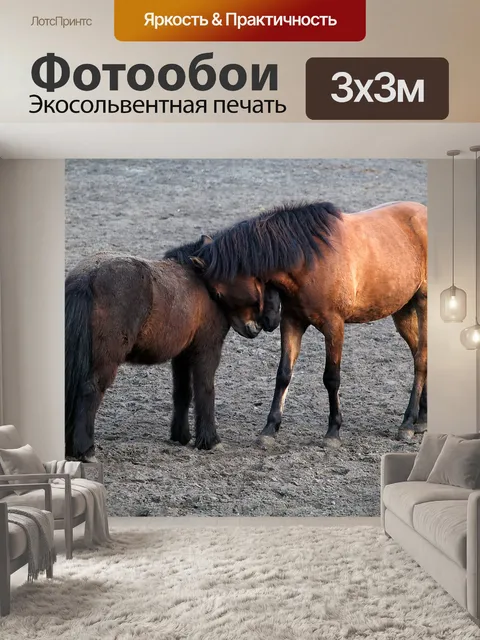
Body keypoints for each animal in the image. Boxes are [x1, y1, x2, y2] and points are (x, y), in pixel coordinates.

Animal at [65, 236, 281, 461]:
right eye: (259, 278)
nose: (271, 321)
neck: (203, 283)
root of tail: (88, 276)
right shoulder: (207, 349)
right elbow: (205, 390)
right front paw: (210, 440)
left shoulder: (182, 354)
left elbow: (182, 393)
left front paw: (181, 436)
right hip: (105, 360)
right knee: (90, 390)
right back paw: (86, 450)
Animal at [188, 201, 428, 446]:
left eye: (216, 292)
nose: (248, 329)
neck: (309, 262)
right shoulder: (292, 322)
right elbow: (284, 374)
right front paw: (270, 428)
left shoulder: (334, 326)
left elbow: (331, 377)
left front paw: (333, 431)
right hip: (402, 311)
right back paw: (422, 418)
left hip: (423, 303)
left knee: (421, 360)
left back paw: (408, 422)